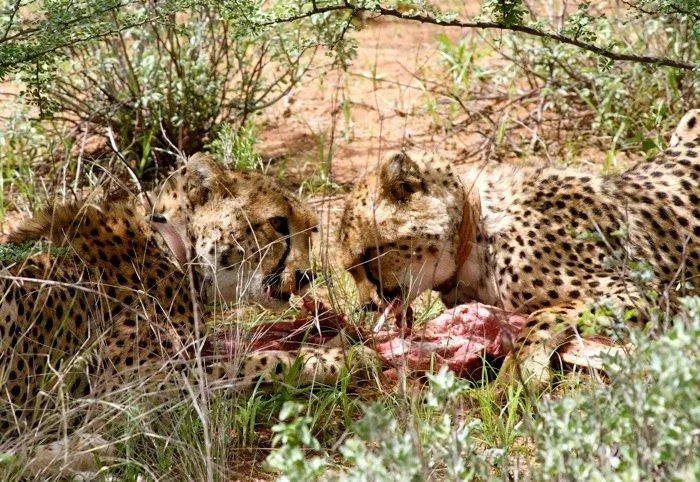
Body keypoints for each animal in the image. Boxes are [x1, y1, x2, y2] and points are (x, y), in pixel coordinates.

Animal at [0, 153, 372, 448]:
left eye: (312, 231)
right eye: (278, 222)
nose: (307, 275)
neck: (172, 245)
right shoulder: (119, 396)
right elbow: (259, 363)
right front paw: (343, 358)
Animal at [338, 109, 699, 385]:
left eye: (368, 255)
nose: (367, 306)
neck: (475, 232)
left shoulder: (645, 294)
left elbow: (543, 315)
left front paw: (516, 376)